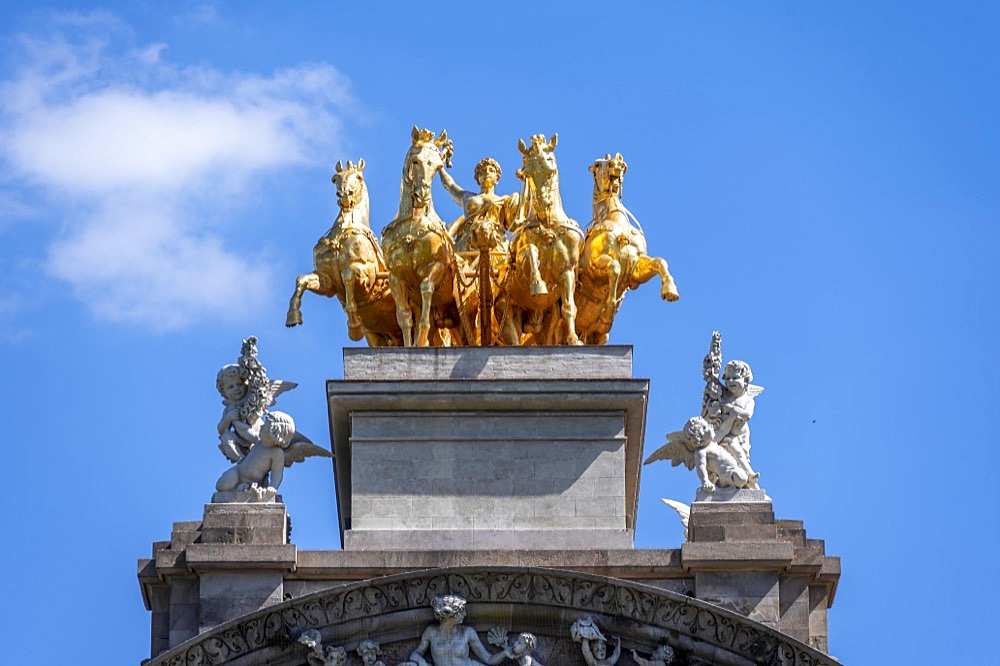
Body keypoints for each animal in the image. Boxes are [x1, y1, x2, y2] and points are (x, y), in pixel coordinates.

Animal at [286, 160, 402, 344]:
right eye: (335, 179)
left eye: (359, 177)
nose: (345, 195)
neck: (343, 231)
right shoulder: (326, 281)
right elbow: (301, 280)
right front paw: (293, 316)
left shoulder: (367, 275)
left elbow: (348, 277)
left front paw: (353, 324)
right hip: (377, 334)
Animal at [382, 126, 476, 348]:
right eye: (416, 161)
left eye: (437, 166)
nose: (422, 195)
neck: (413, 223)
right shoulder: (395, 277)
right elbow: (404, 317)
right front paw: (411, 344)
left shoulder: (434, 267)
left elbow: (426, 292)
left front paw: (421, 336)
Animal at [496, 133, 584, 344]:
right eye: (526, 169)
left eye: (550, 162)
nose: (544, 204)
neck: (548, 226)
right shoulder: (519, 266)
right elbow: (531, 251)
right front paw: (538, 284)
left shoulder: (567, 270)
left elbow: (569, 306)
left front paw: (573, 339)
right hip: (505, 312)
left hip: (547, 323)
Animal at [576, 153, 676, 344]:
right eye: (597, 165)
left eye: (617, 162)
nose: (617, 163)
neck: (615, 220)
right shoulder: (593, 266)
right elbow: (614, 268)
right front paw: (609, 311)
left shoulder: (635, 268)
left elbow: (660, 262)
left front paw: (670, 291)